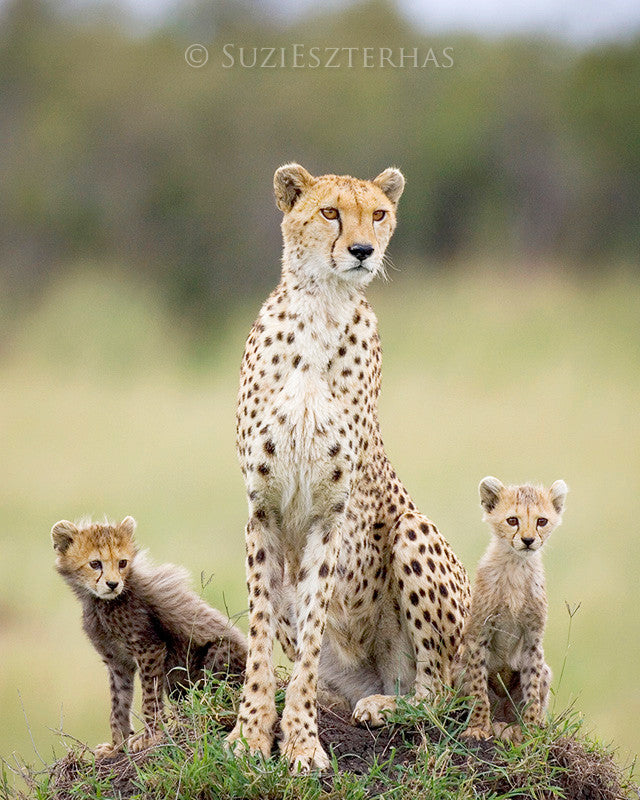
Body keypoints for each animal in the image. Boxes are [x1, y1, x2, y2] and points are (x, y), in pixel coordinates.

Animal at [226, 166, 470, 772]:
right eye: (330, 212)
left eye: (378, 214)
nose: (362, 250)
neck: (322, 310)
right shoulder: (262, 511)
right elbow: (261, 633)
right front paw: (251, 733)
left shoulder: (328, 515)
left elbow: (314, 627)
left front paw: (301, 743)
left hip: (412, 531)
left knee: (439, 693)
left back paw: (385, 708)